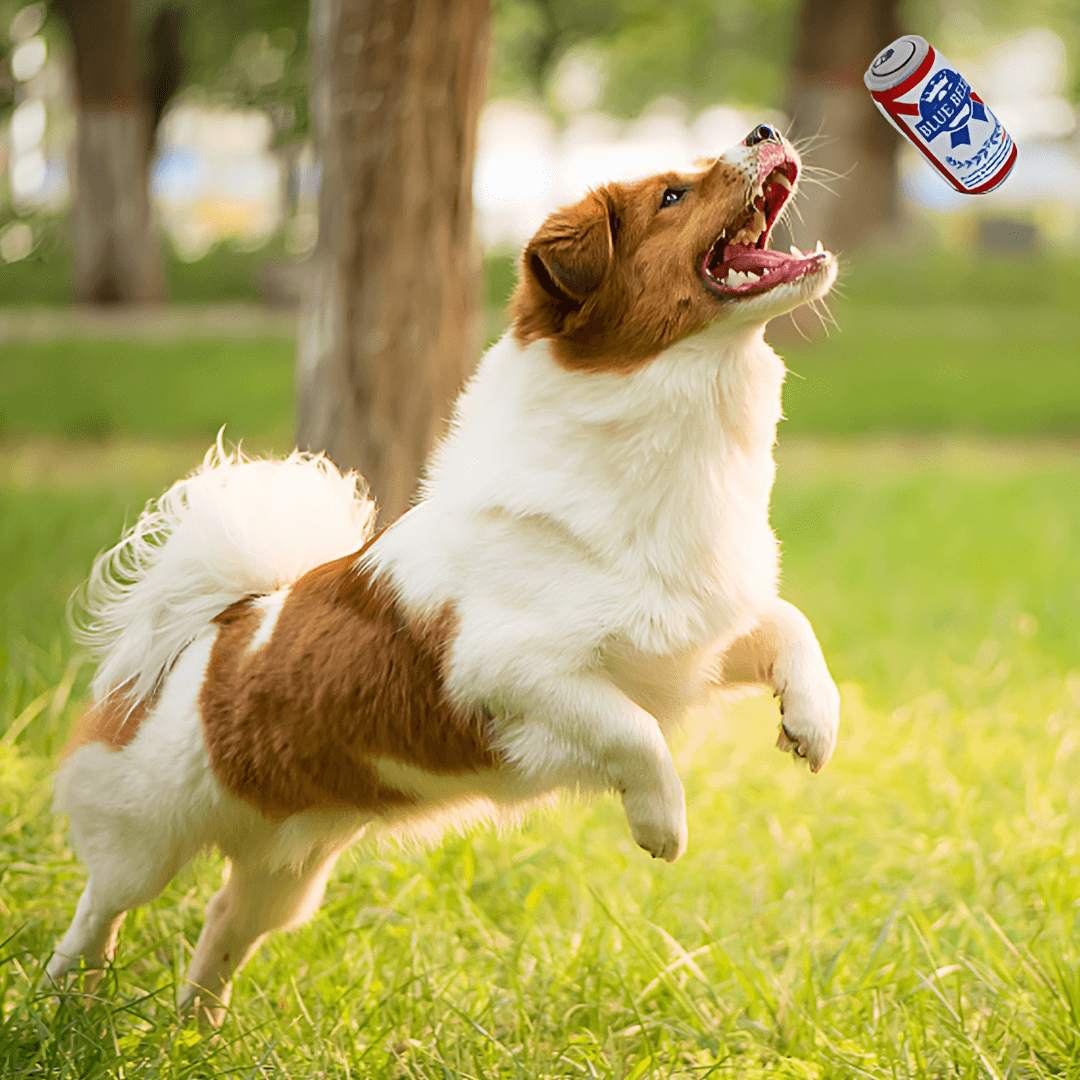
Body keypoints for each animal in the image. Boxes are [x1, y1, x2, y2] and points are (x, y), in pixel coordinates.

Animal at [46, 126, 842, 1019]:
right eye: (671, 195)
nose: (763, 130)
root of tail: (215, 626)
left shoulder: (691, 634)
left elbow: (789, 625)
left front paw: (813, 722)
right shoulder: (510, 671)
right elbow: (631, 731)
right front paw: (661, 824)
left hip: (288, 869)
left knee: (225, 921)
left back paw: (199, 1028)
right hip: (144, 838)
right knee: (100, 909)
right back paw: (63, 1004)